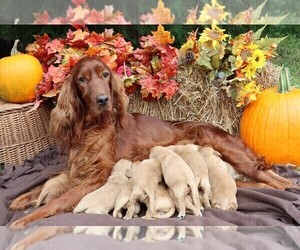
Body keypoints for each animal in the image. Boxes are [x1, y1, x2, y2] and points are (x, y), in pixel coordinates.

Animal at [8, 56, 294, 229]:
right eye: (82, 79)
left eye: (105, 75)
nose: (103, 100)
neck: (92, 127)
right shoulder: (79, 169)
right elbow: (46, 184)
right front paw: (22, 200)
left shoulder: (98, 176)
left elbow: (60, 199)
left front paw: (27, 218)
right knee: (258, 183)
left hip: (222, 145)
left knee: (279, 182)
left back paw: (285, 187)